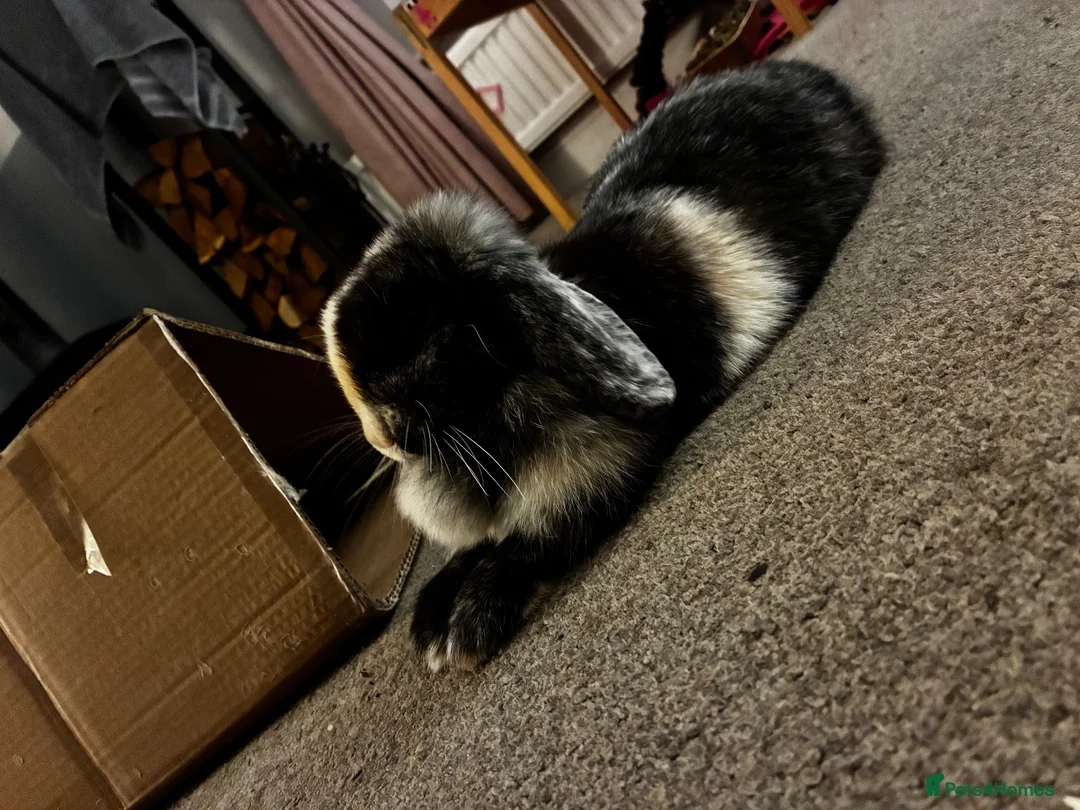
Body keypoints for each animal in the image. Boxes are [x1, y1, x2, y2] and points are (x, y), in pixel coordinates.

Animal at [321, 60, 884, 671]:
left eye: (417, 336)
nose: (381, 440)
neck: (491, 419)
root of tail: (800, 71)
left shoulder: (601, 468)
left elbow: (530, 544)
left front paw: (463, 629)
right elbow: (476, 549)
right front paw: (429, 617)